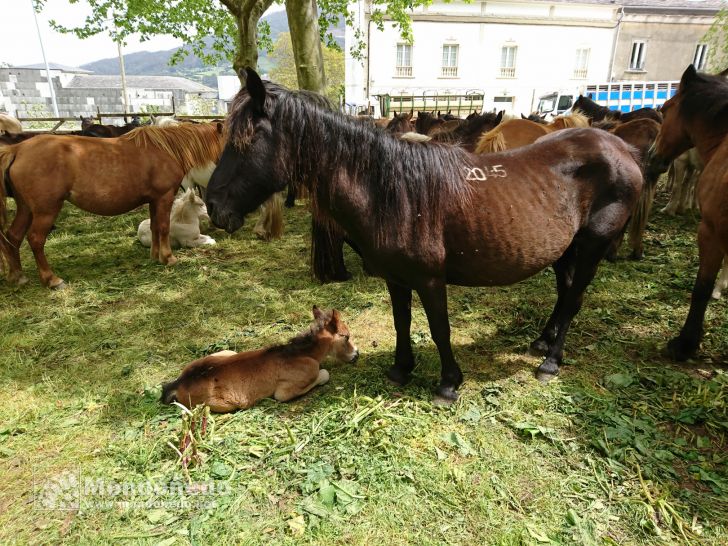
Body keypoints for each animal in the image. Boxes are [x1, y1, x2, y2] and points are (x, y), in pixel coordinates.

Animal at [0, 121, 222, 286]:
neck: (166, 149)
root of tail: (17, 149)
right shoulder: (164, 197)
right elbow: (163, 227)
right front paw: (168, 258)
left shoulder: (154, 200)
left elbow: (154, 227)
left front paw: (155, 256)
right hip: (46, 210)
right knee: (35, 239)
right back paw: (51, 279)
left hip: (26, 209)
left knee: (13, 236)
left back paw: (18, 276)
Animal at [163, 306, 362, 412]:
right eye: (346, 336)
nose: (357, 354)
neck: (300, 354)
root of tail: (178, 384)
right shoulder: (284, 392)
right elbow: (324, 373)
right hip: (224, 405)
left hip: (226, 351)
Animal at [205, 69, 644, 400]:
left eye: (247, 140)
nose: (212, 206)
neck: (394, 193)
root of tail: (621, 148)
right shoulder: (397, 278)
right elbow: (402, 322)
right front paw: (402, 369)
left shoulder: (431, 280)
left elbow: (438, 328)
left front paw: (449, 383)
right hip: (565, 248)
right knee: (565, 292)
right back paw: (542, 342)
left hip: (592, 245)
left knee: (574, 298)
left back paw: (551, 361)